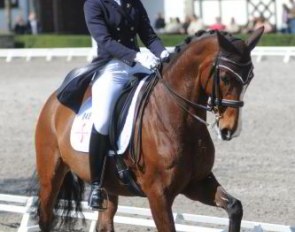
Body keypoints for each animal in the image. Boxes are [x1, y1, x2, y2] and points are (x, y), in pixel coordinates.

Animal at [35, 28, 264, 231]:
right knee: (45, 217)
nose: (229, 129)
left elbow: (234, 207)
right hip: (51, 176)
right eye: (225, 77)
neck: (177, 118)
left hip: (109, 187)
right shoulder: (158, 195)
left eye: (250, 77)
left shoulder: (197, 183)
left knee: (105, 224)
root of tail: (55, 99)